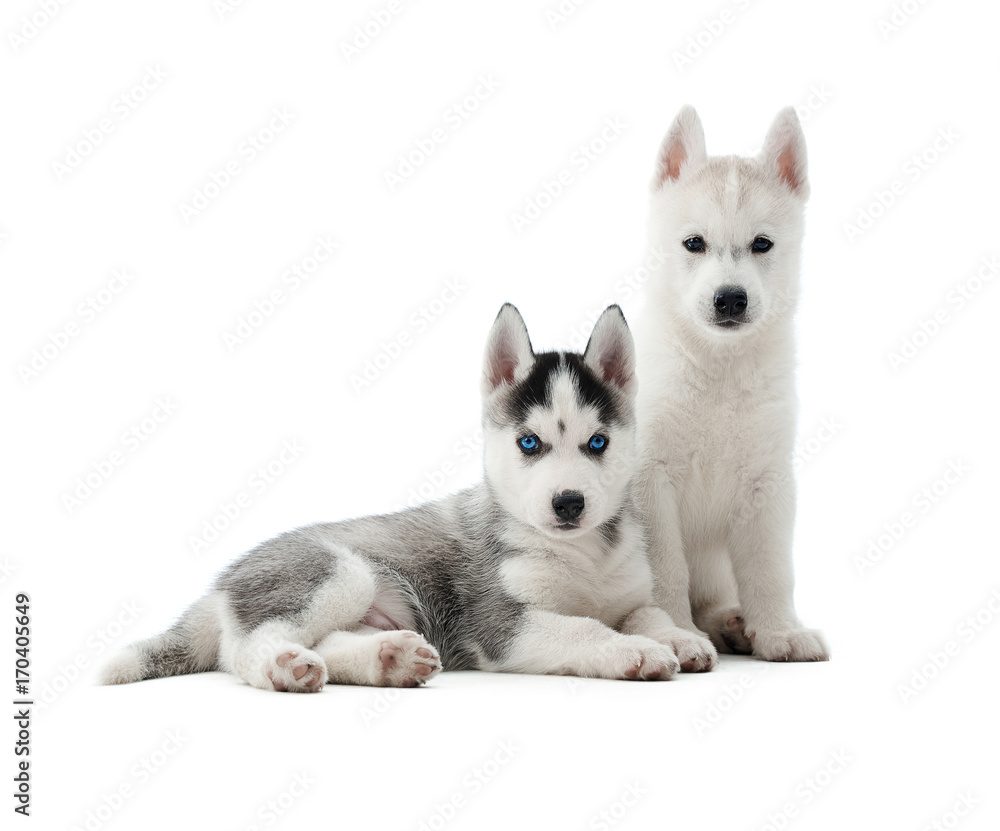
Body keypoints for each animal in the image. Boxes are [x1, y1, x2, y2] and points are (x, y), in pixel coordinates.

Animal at [101, 302, 712, 692]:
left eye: (598, 443)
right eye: (530, 443)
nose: (568, 503)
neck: (585, 553)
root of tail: (219, 583)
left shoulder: (628, 593)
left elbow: (648, 612)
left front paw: (680, 639)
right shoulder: (500, 624)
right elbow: (582, 627)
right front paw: (633, 651)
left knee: (330, 642)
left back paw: (389, 658)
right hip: (336, 573)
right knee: (242, 650)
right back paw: (284, 667)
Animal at [636, 107, 832, 664]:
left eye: (762, 244)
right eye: (694, 243)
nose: (730, 299)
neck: (719, 373)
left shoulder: (768, 483)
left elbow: (770, 569)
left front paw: (780, 631)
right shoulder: (650, 481)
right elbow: (665, 571)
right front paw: (675, 634)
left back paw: (733, 623)